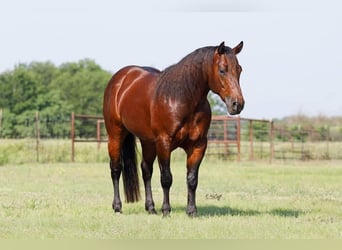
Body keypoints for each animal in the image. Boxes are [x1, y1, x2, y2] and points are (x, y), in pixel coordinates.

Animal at [103, 41, 244, 217]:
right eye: (222, 70)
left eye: (239, 69)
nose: (237, 104)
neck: (182, 98)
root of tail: (120, 79)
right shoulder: (164, 142)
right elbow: (166, 178)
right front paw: (166, 211)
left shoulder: (198, 145)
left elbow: (192, 179)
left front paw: (191, 211)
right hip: (115, 135)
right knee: (116, 169)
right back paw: (117, 207)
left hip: (148, 142)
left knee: (146, 170)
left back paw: (151, 208)